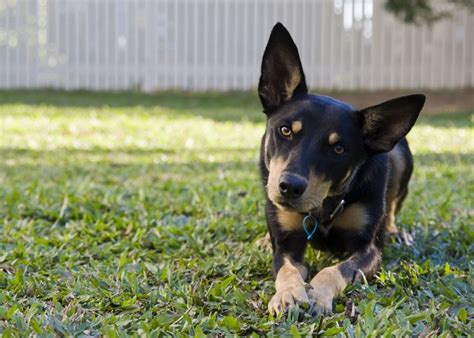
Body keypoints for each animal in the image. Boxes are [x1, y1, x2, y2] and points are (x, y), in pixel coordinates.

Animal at [260, 22, 426, 316]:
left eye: (338, 149)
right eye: (285, 130)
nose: (289, 186)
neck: (323, 207)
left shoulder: (369, 250)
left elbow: (335, 269)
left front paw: (318, 295)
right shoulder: (287, 245)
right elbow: (288, 270)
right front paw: (289, 294)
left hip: (400, 157)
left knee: (393, 206)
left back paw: (395, 231)